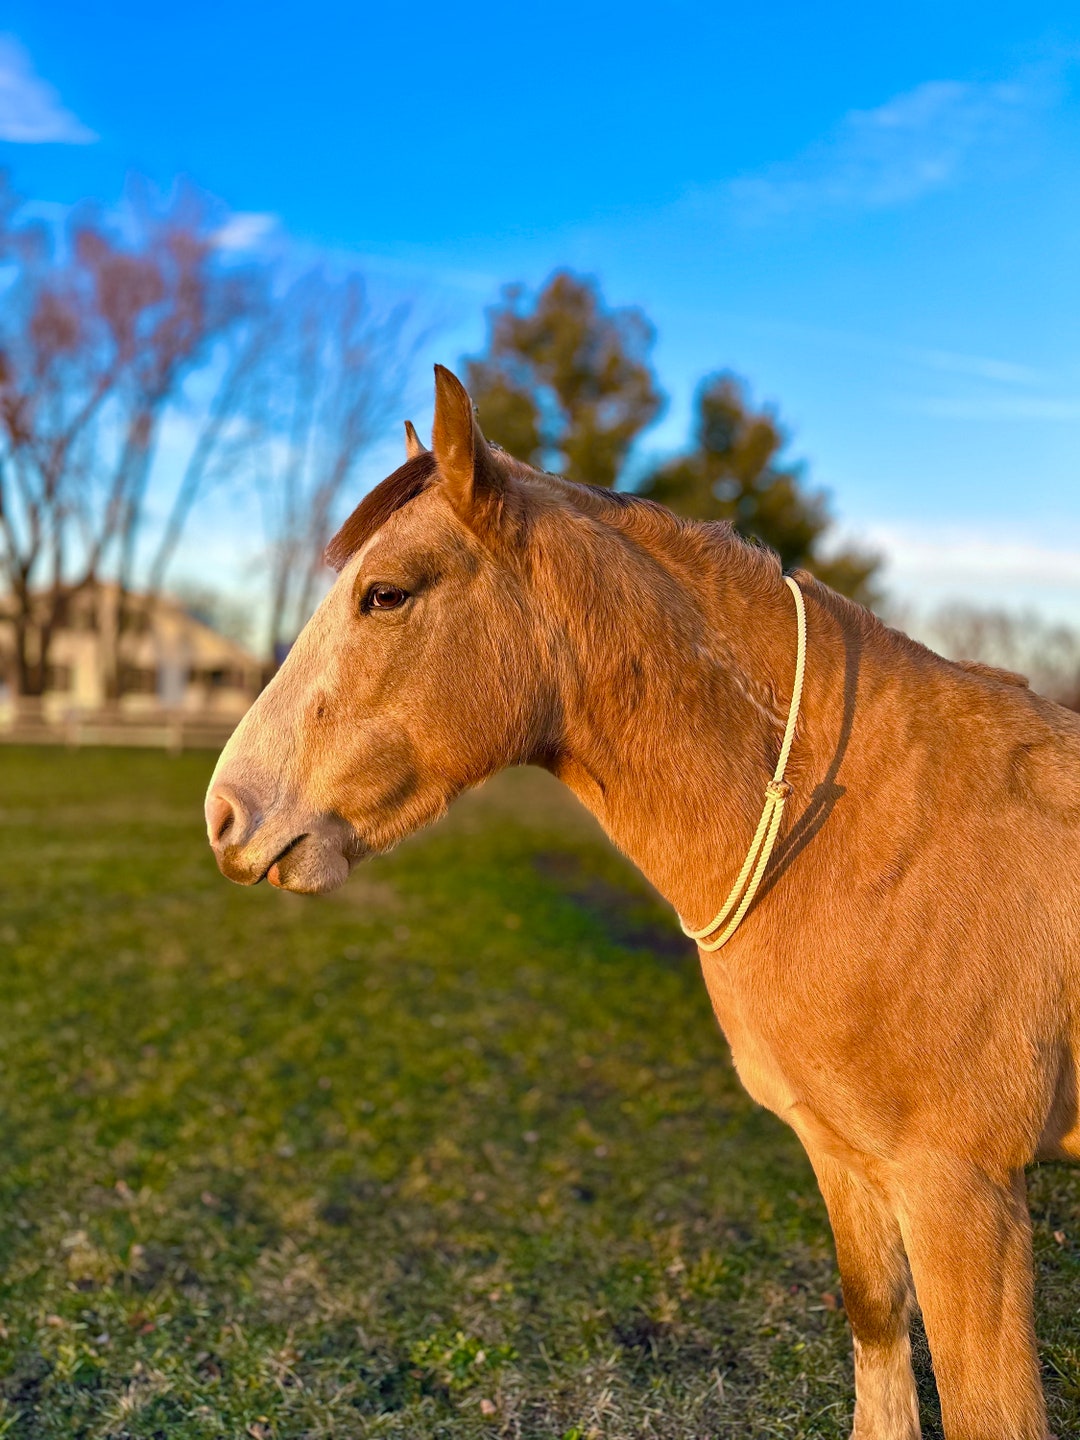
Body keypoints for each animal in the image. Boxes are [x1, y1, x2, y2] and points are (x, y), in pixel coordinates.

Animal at [206, 364, 1080, 1440]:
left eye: (386, 594)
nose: (226, 815)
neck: (876, 832)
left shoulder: (963, 1193)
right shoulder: (847, 1159)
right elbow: (878, 1333)